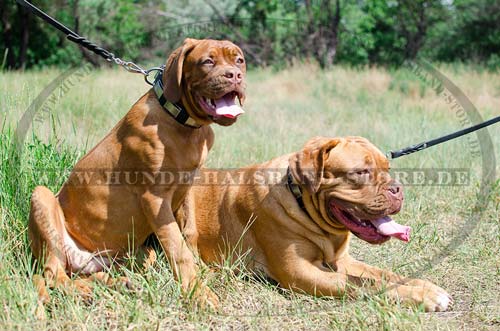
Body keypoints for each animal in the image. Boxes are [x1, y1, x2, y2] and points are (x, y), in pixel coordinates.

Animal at [27, 37, 246, 308]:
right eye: (208, 61)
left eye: (239, 60)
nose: (235, 75)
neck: (182, 123)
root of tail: (84, 258)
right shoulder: (155, 199)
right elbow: (178, 248)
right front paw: (198, 292)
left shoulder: (186, 190)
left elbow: (189, 234)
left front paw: (203, 272)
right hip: (43, 201)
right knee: (53, 274)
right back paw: (85, 291)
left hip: (134, 255)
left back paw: (117, 283)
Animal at [177, 136, 454, 312]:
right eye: (361, 172)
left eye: (387, 168)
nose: (398, 189)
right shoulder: (299, 272)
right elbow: (364, 283)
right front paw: (423, 296)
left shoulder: (342, 261)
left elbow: (385, 274)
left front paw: (426, 286)